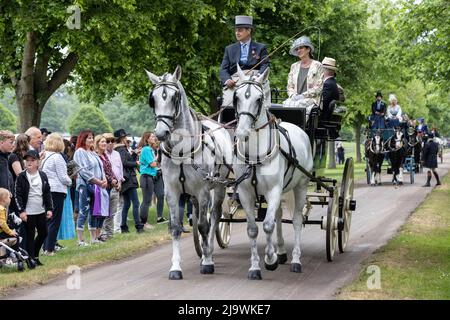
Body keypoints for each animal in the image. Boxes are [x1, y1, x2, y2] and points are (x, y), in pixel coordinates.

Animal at [146, 67, 234, 280]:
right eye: (153, 98)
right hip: (194, 194)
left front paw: (208, 262)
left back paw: (209, 252)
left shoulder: (203, 190)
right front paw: (175, 268)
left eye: (174, 97)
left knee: (215, 216)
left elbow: (204, 225)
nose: (160, 134)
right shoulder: (172, 192)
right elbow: (176, 228)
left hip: (219, 186)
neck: (182, 151)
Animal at [232, 65, 312, 280]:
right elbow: (253, 229)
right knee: (277, 216)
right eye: (236, 96)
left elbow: (267, 225)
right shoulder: (245, 193)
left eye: (259, 99)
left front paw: (270, 259)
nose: (241, 133)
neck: (255, 155)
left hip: (300, 187)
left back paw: (296, 260)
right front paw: (255, 267)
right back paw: (282, 251)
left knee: (296, 220)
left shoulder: (274, 190)